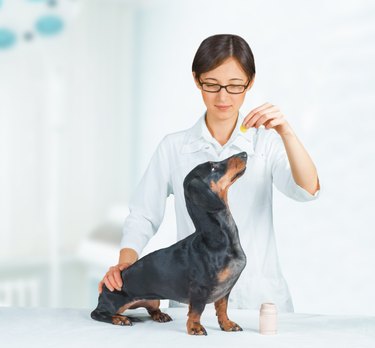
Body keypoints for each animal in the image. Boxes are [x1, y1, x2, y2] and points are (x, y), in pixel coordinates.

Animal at [91, 152, 248, 334]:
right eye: (213, 167)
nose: (244, 154)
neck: (216, 239)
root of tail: (103, 290)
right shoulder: (199, 289)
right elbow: (196, 310)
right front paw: (195, 327)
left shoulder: (225, 290)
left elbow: (222, 308)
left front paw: (228, 324)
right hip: (113, 302)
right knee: (98, 313)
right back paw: (119, 319)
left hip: (153, 299)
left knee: (152, 309)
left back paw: (159, 315)